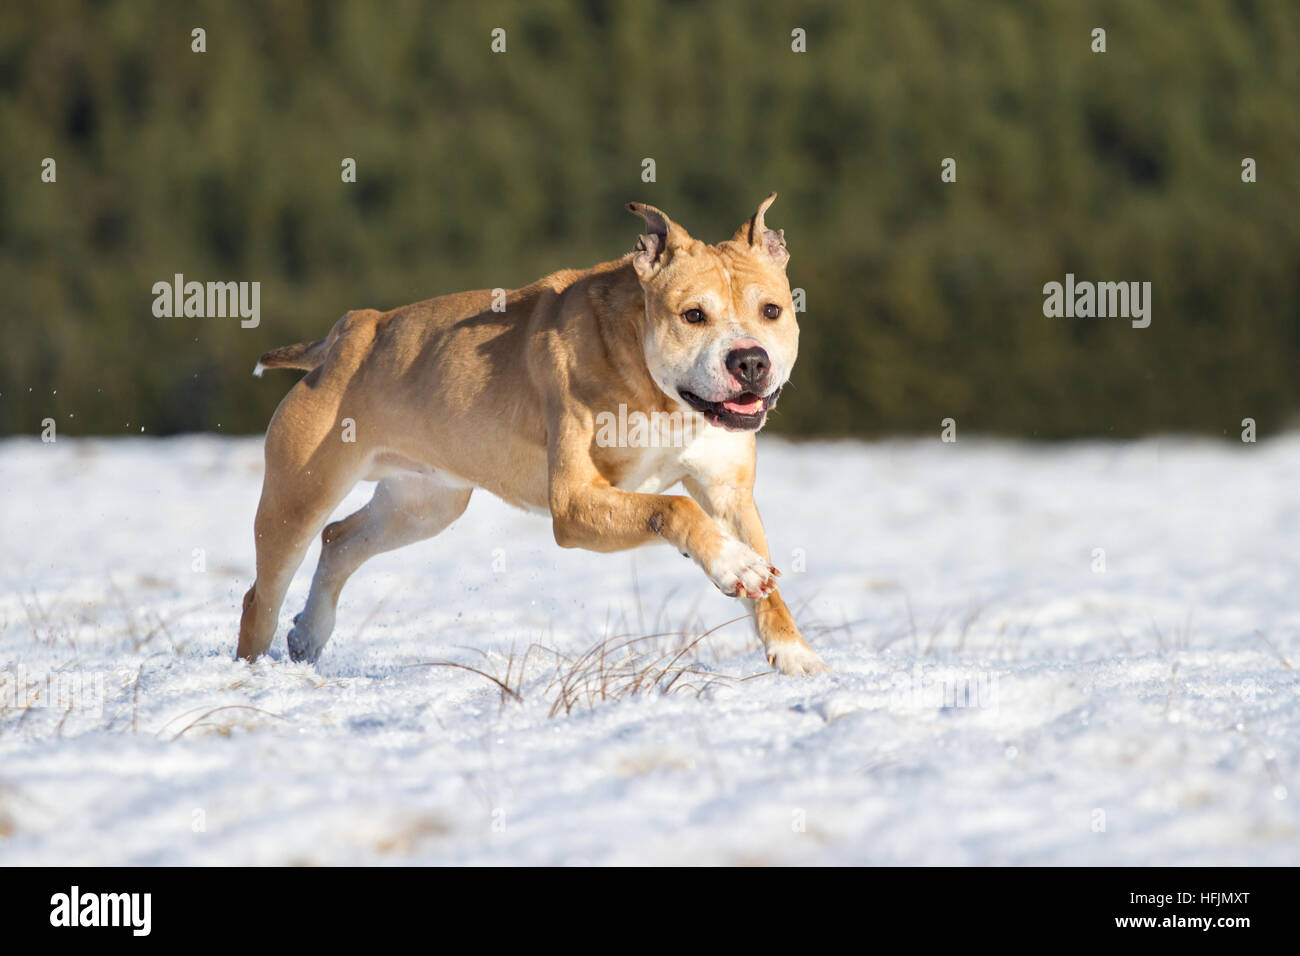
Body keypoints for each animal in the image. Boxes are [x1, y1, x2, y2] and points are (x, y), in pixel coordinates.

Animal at [241, 192, 832, 671]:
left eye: (772, 310)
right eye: (692, 315)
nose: (750, 361)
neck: (662, 398)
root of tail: (345, 334)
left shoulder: (728, 492)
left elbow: (761, 577)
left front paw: (794, 651)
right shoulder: (573, 502)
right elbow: (674, 508)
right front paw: (734, 564)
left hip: (423, 505)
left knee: (339, 540)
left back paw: (308, 635)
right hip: (298, 495)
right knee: (262, 593)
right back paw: (254, 670)